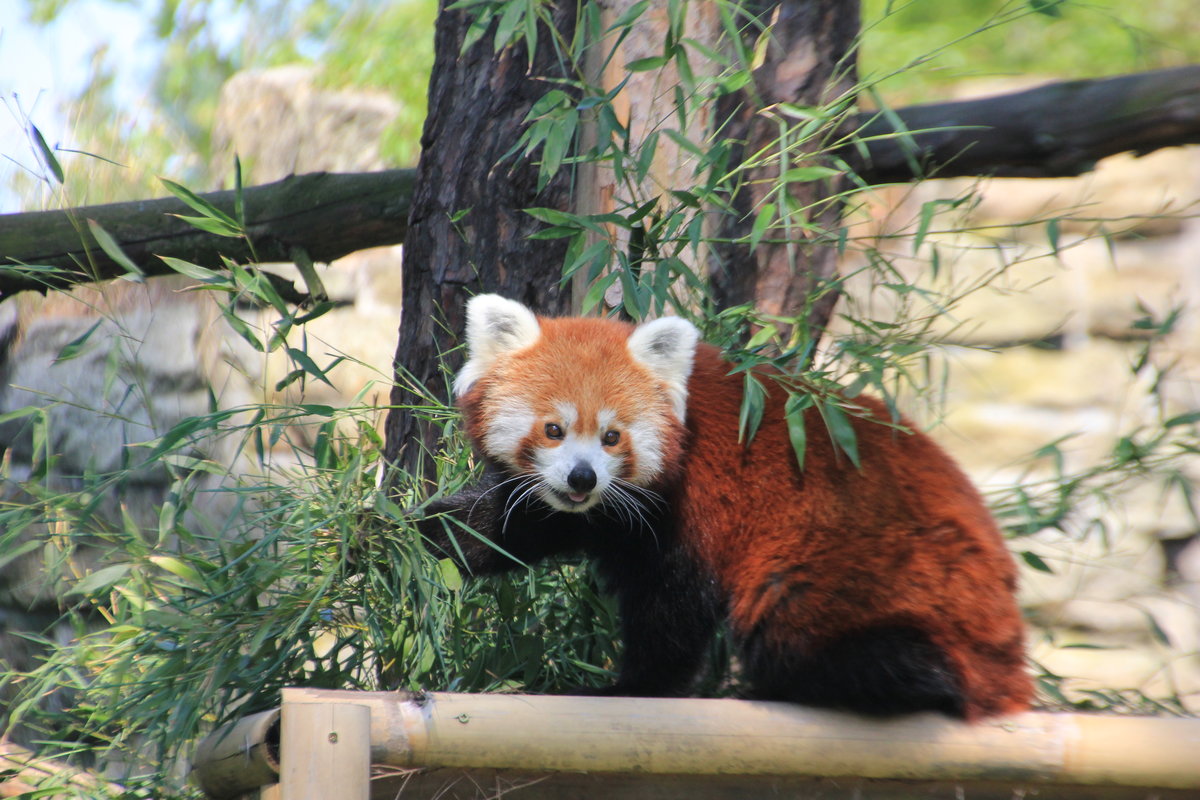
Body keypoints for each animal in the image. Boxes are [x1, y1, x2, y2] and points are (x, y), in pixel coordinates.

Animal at [420, 293, 1032, 719]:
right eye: (554, 429)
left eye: (613, 437)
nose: (582, 476)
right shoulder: (591, 507)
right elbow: (500, 529)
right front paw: (409, 538)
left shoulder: (697, 506)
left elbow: (676, 605)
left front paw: (635, 688)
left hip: (872, 570)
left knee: (810, 629)